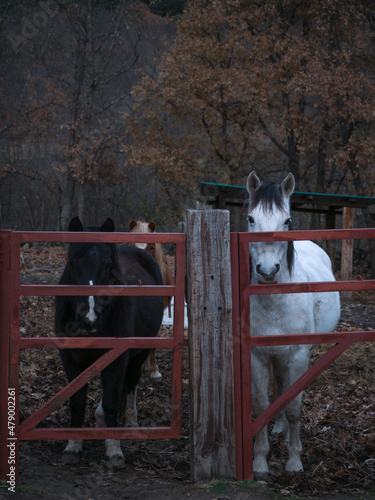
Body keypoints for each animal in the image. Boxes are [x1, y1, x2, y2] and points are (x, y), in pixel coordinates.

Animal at [55, 217, 164, 466]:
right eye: (72, 264)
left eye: (108, 266)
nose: (89, 318)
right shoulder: (70, 360)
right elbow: (77, 401)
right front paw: (73, 447)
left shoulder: (117, 358)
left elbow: (112, 401)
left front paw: (114, 450)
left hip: (139, 353)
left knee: (131, 382)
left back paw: (130, 421)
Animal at [247, 172, 340, 480]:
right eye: (251, 219)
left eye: (286, 220)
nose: (267, 271)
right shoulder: (258, 356)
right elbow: (261, 406)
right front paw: (260, 462)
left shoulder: (297, 355)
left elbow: (295, 407)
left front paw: (294, 461)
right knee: (279, 388)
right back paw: (279, 429)